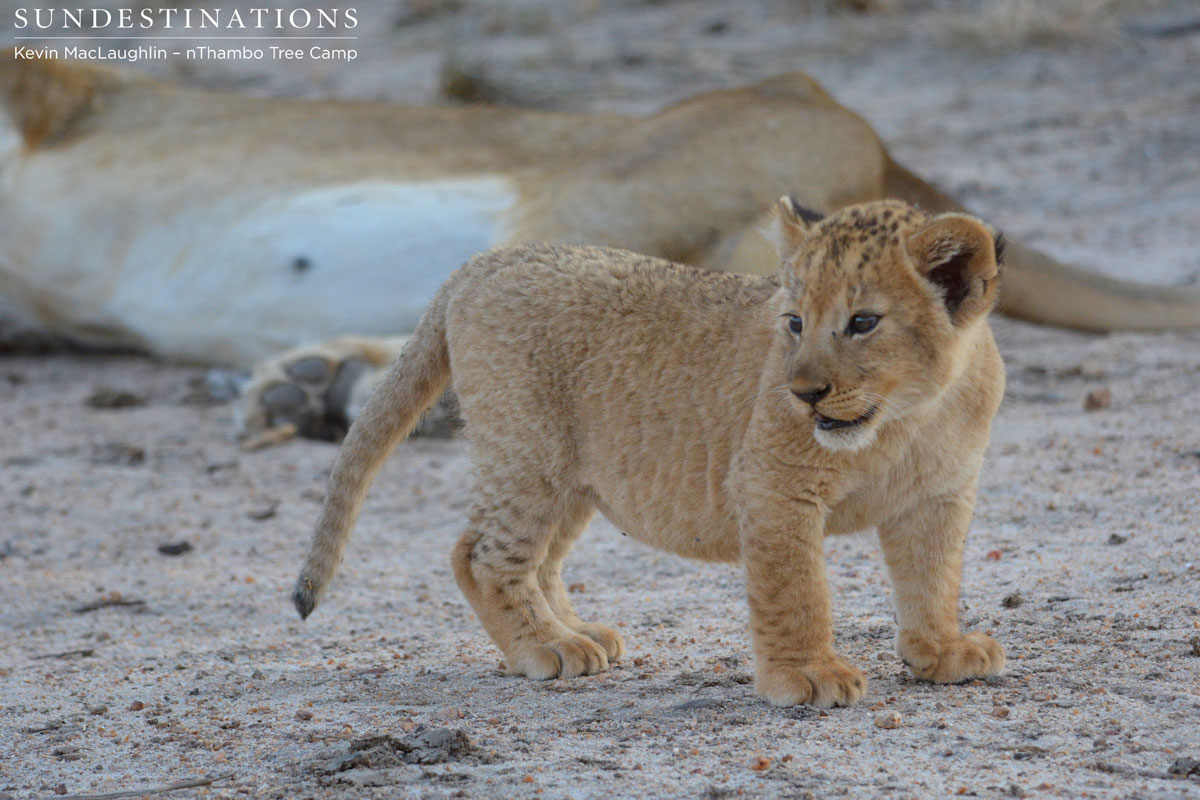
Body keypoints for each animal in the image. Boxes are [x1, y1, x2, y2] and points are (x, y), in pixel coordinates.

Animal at [292, 199, 1007, 707]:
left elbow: (934, 575)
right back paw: (545, 650)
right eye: (795, 322)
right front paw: (806, 675)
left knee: (541, 558)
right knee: (479, 555)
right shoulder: (772, 486)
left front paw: (942, 651)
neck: (906, 419)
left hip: (575, 474)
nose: (803, 392)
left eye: (863, 323)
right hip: (527, 453)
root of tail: (484, 262)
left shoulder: (941, 492)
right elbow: (796, 589)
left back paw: (577, 634)